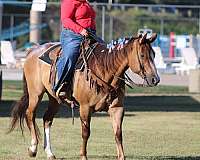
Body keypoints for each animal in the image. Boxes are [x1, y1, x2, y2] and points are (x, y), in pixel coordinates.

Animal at [8, 32, 160, 160]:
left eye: (153, 54)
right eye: (142, 55)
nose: (155, 79)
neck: (104, 70)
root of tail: (33, 50)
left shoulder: (117, 108)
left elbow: (118, 133)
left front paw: (121, 156)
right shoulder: (85, 108)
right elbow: (86, 133)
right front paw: (83, 156)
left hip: (54, 99)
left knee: (47, 119)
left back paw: (50, 153)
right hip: (35, 93)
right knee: (30, 114)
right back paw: (33, 148)